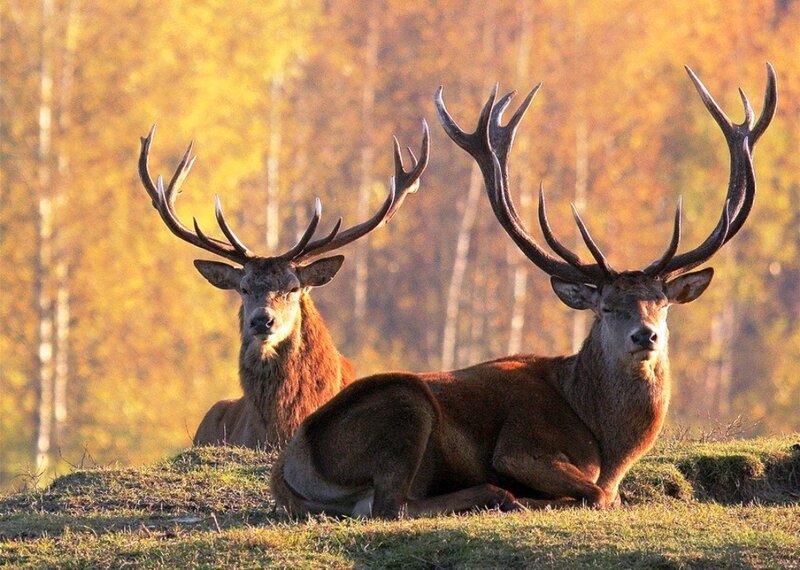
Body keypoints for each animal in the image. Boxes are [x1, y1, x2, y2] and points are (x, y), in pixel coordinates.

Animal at [270, 65, 777, 518]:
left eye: (662, 303)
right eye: (606, 307)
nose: (645, 335)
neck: (607, 442)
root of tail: (287, 469)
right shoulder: (522, 446)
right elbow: (599, 494)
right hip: (403, 408)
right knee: (390, 505)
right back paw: (499, 496)